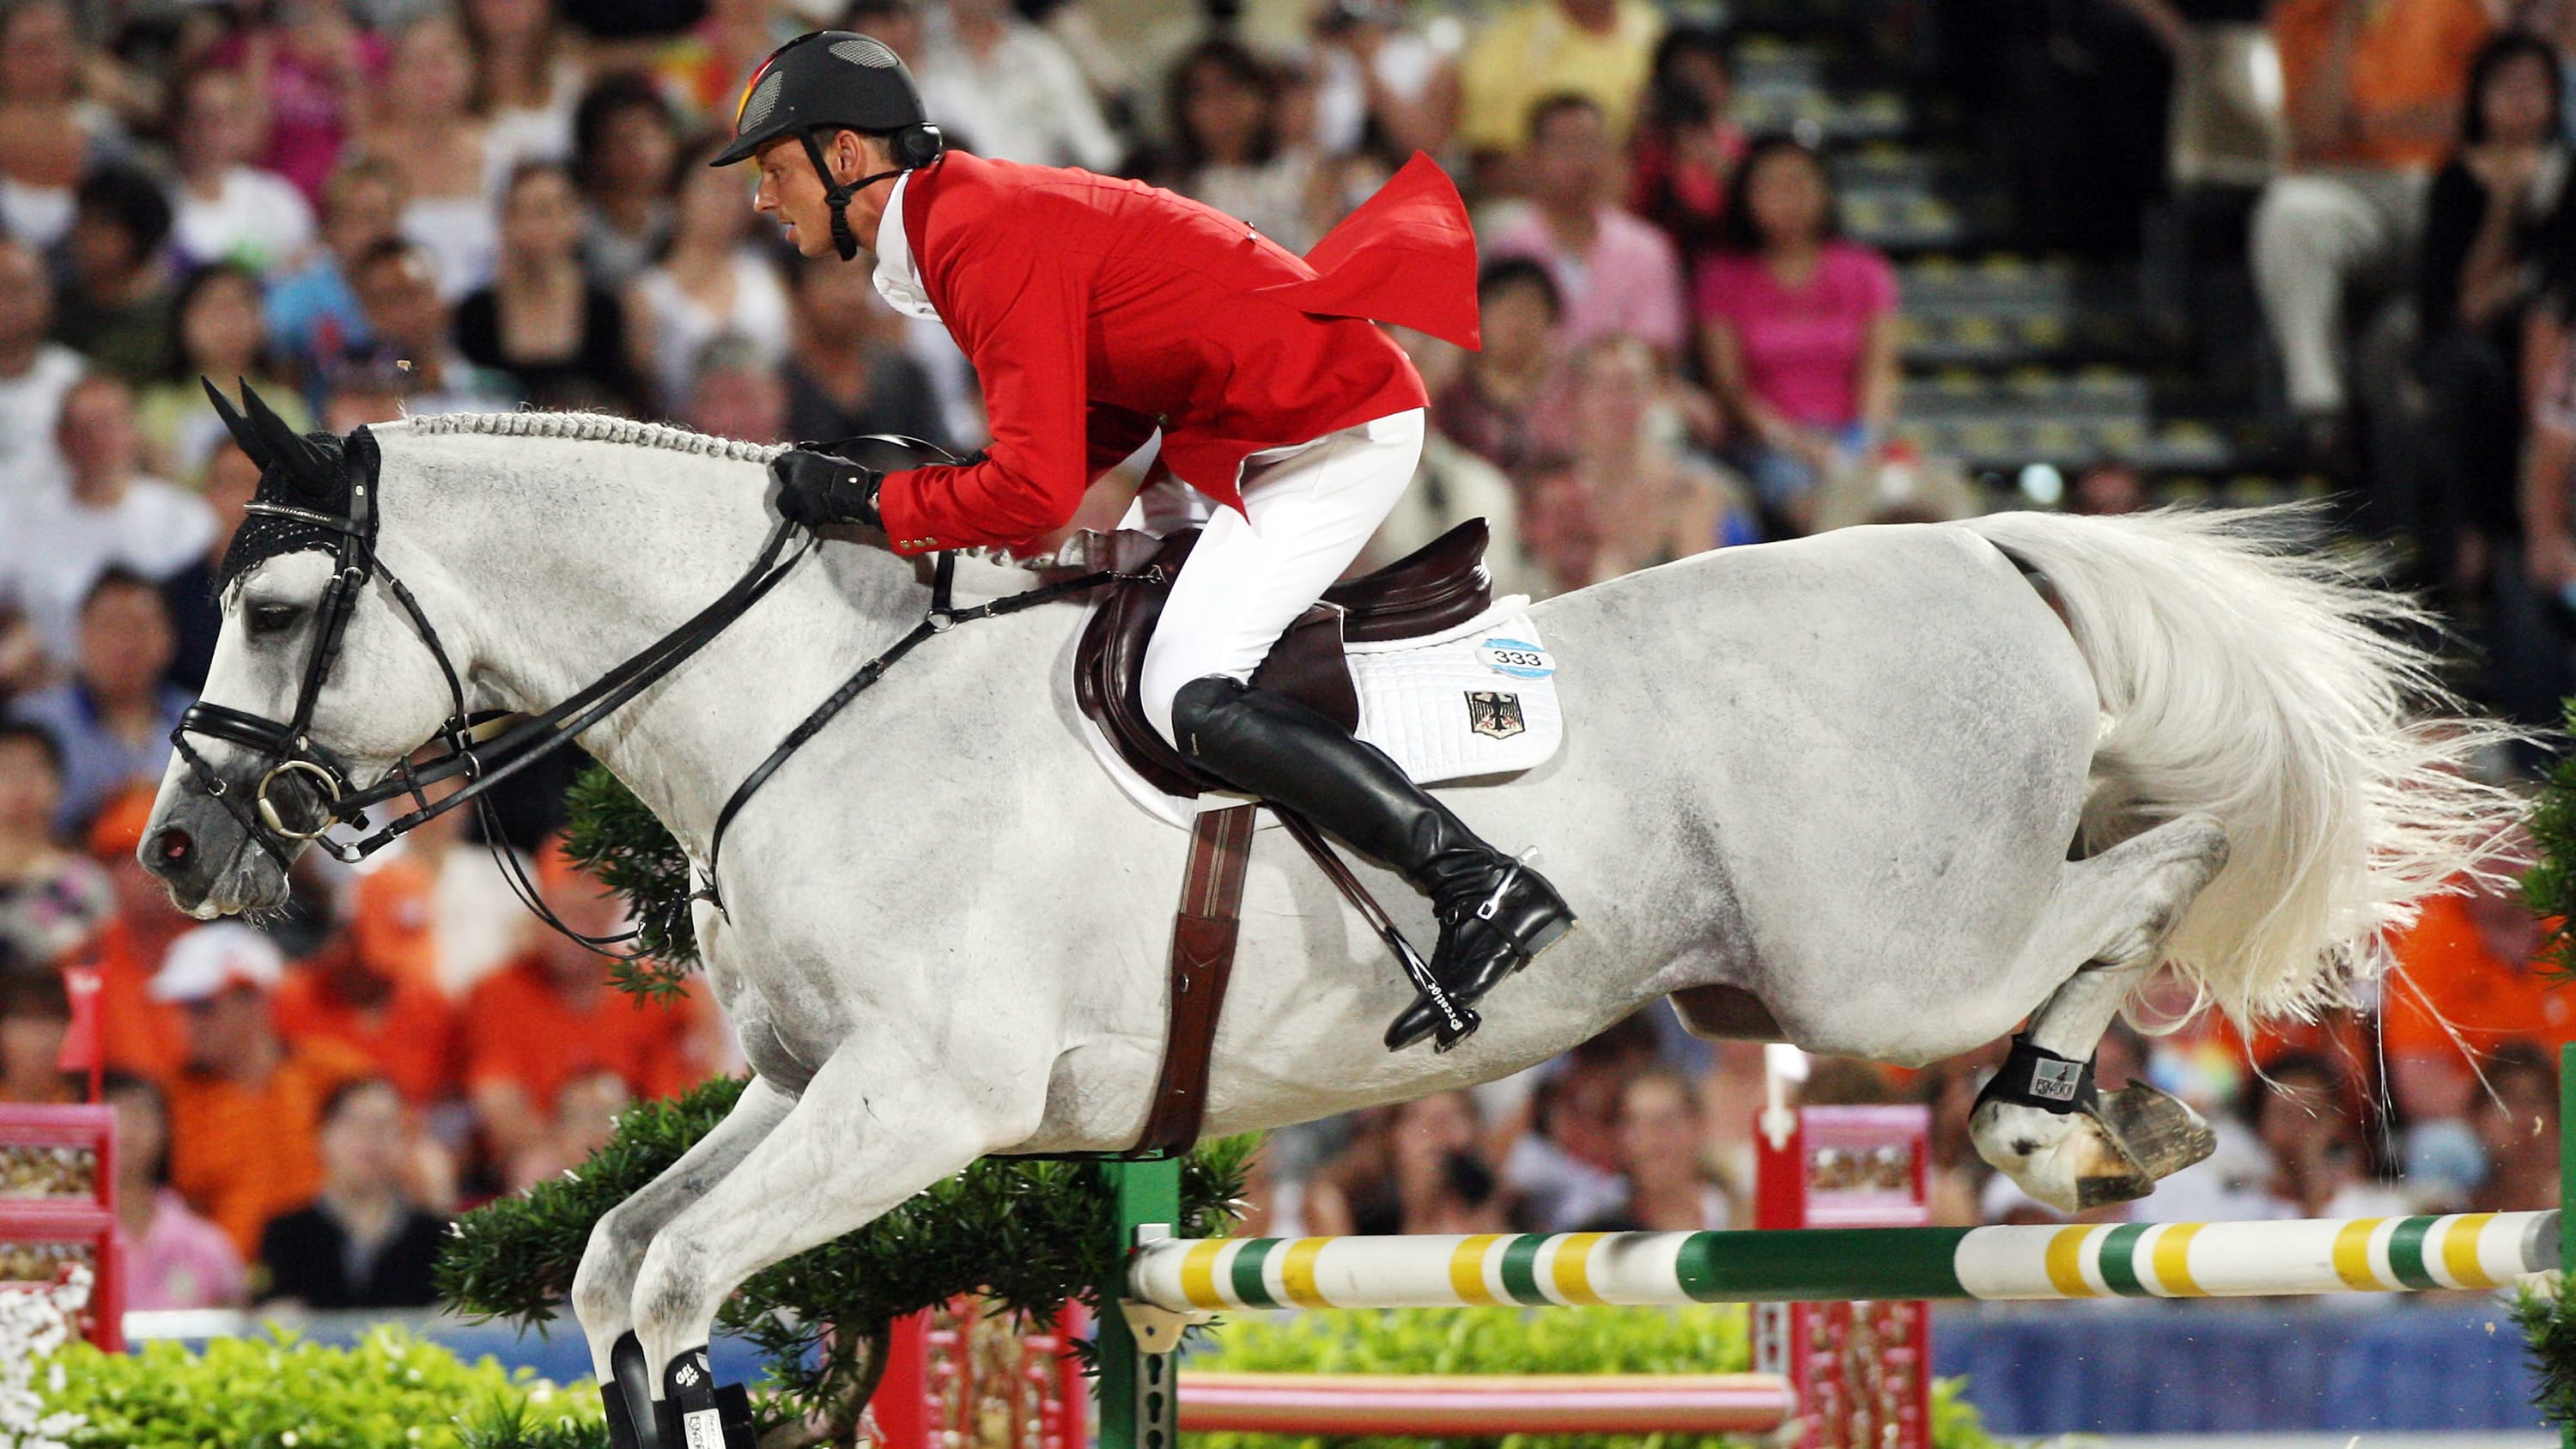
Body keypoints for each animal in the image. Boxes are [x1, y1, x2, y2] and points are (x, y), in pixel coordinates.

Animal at [146, 407, 2514, 1412]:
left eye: (267, 606)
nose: (177, 853)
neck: (811, 695)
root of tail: (1985, 542)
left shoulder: (917, 1106)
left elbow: (673, 1282)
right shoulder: (819, 1090)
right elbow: (626, 1269)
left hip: (1886, 955)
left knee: (2159, 870)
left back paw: (2055, 1115)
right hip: (1803, 968)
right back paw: (2089, 1116)